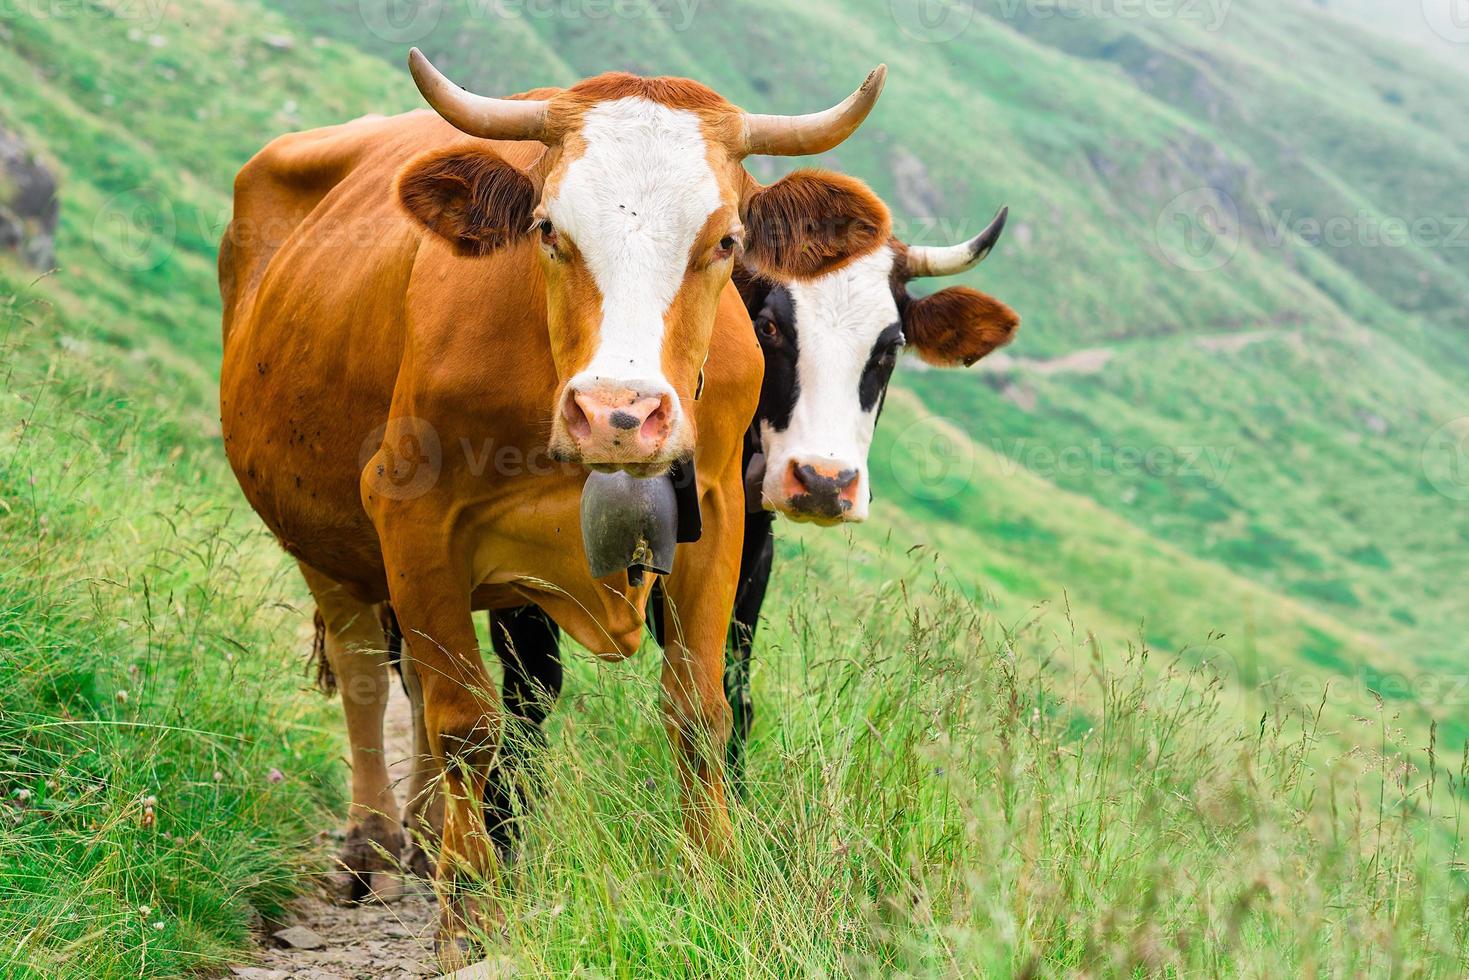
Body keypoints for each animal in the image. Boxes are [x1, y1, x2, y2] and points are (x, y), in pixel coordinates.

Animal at [217, 55, 881, 952]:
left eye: (725, 241)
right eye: (547, 229)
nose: (617, 412)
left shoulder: (719, 518)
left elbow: (700, 710)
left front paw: (713, 879)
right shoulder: (412, 514)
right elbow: (466, 722)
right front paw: (469, 908)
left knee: (411, 681)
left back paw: (424, 836)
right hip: (320, 536)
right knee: (365, 676)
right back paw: (375, 847)